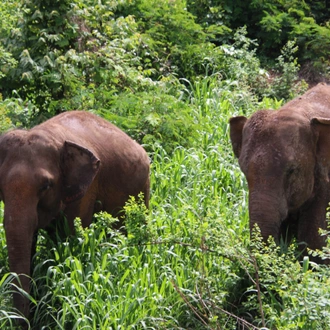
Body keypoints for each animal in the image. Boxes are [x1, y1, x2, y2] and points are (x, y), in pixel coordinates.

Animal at [0, 110, 150, 320]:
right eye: (0, 187)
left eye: (46, 186)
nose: (27, 321)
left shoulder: (86, 190)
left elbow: (71, 239)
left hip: (143, 188)